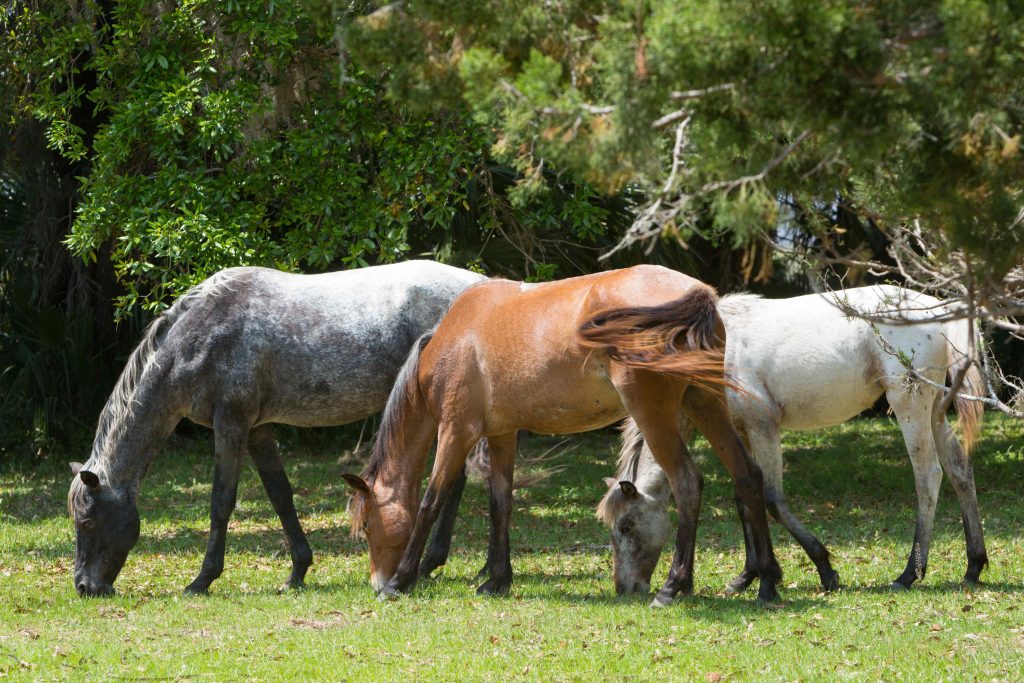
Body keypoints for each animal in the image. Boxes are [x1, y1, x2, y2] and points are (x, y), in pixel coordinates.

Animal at [67, 262, 483, 598]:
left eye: (87, 521)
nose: (85, 587)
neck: (198, 336)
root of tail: (479, 285)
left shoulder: (231, 425)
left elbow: (221, 502)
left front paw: (202, 580)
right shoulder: (258, 430)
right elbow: (280, 496)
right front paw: (297, 572)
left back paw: (434, 564)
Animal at [344, 264, 782, 606]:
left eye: (366, 527)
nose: (375, 581)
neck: (453, 339)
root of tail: (697, 294)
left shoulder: (455, 429)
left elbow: (429, 503)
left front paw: (400, 581)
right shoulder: (502, 433)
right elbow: (500, 502)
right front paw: (497, 580)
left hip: (655, 414)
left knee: (688, 483)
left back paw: (673, 587)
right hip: (705, 403)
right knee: (747, 476)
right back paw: (767, 582)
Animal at [598, 286, 987, 593]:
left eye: (626, 526)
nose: (624, 588)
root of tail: (937, 310)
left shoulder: (763, 428)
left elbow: (770, 498)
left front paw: (822, 568)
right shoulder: (741, 431)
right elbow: (745, 498)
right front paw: (747, 577)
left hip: (910, 407)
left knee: (928, 477)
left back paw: (909, 574)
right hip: (935, 410)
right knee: (959, 470)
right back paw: (974, 566)